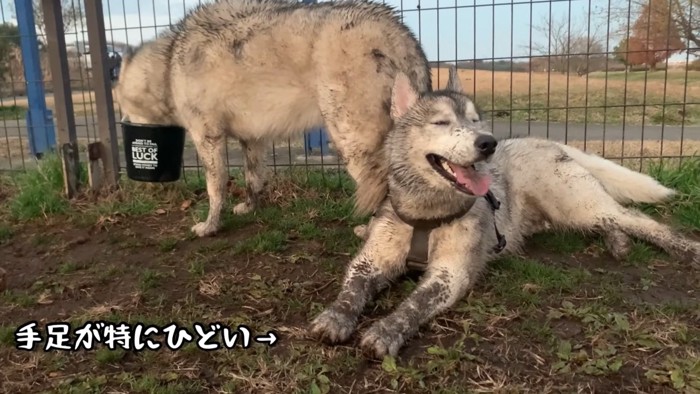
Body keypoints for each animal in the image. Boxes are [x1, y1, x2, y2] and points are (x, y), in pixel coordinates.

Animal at [113, 0, 432, 235]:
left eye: (124, 108)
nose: (123, 125)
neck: (168, 66)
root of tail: (399, 31)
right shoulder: (252, 139)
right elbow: (253, 179)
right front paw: (249, 208)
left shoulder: (207, 137)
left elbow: (215, 188)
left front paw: (210, 226)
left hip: (352, 145)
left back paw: (370, 233)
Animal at [312, 68, 700, 360]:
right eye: (441, 122)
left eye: (474, 120)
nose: (488, 142)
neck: (428, 211)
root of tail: (548, 141)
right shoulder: (370, 261)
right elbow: (352, 289)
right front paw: (336, 317)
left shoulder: (450, 274)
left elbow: (414, 304)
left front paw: (386, 330)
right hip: (571, 214)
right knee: (610, 223)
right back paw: (618, 244)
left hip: (577, 204)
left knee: (635, 219)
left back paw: (685, 248)